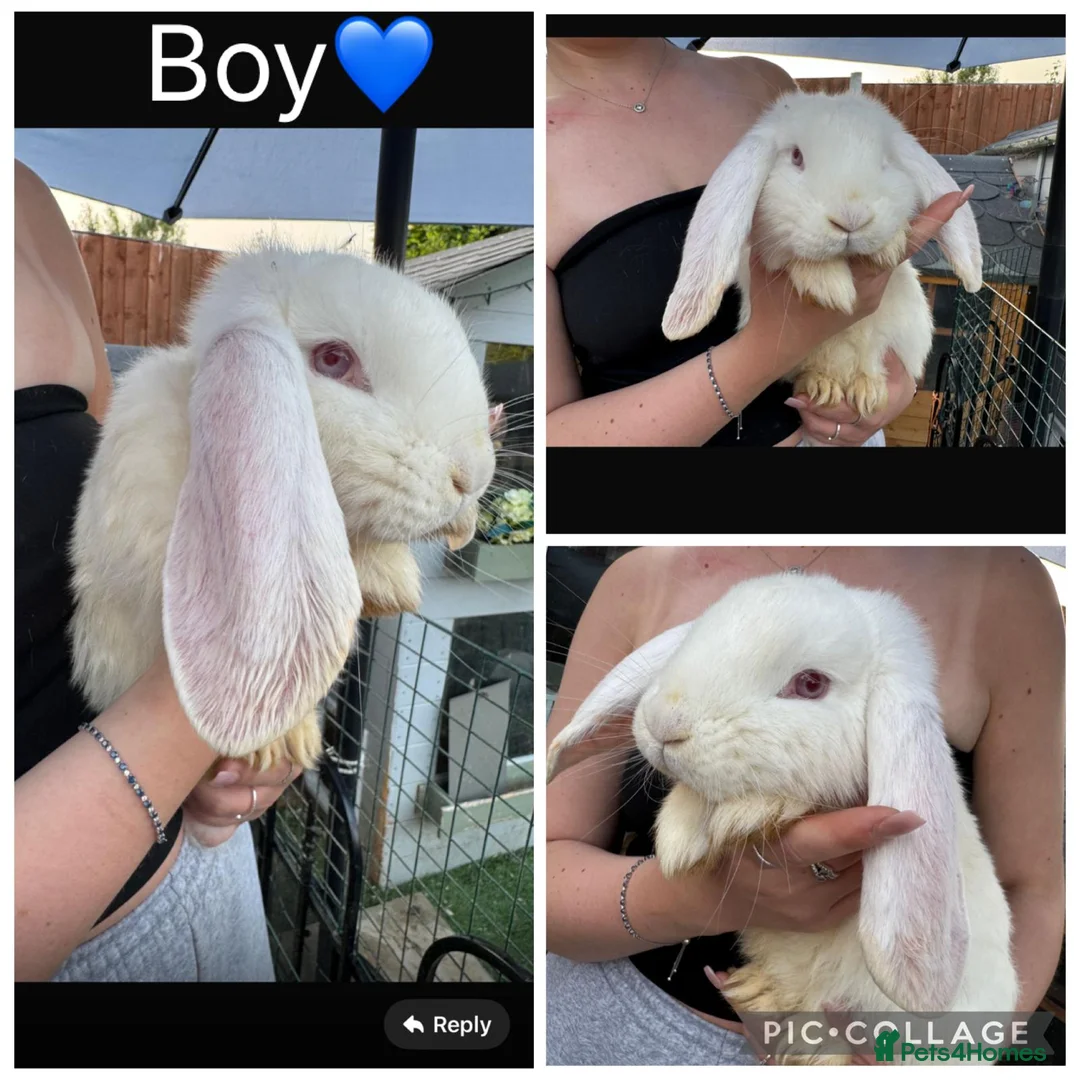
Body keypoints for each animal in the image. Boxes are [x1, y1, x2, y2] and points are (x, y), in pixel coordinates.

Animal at [661, 90, 983, 434]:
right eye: (796, 157)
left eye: (885, 162)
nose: (851, 219)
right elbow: (793, 256)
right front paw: (830, 287)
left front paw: (888, 247)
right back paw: (823, 387)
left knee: (871, 358)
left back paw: (866, 391)